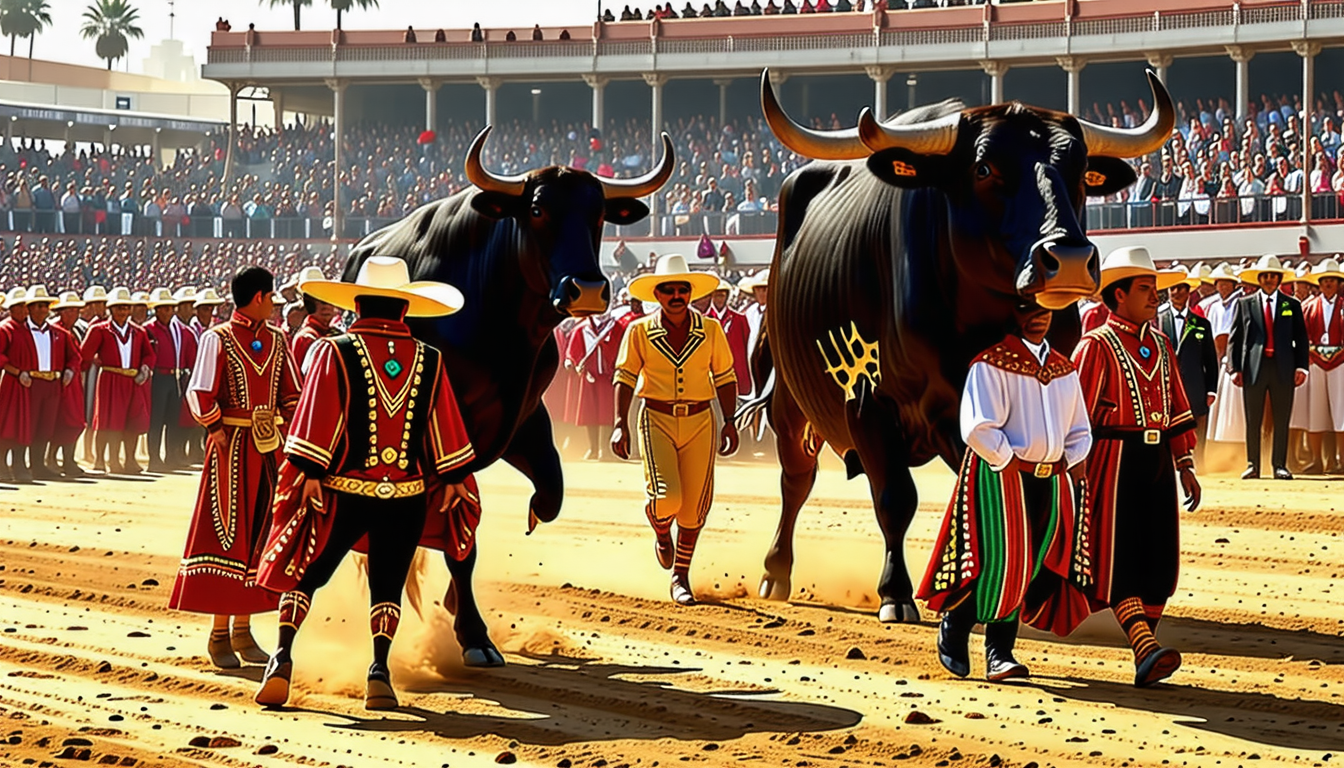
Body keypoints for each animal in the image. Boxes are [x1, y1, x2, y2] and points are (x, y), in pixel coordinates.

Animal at [336, 127, 672, 667]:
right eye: (536, 209)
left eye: (598, 210)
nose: (587, 290)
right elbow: (457, 538)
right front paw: (472, 632)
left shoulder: (524, 419)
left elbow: (548, 494)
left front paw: (460, 608)